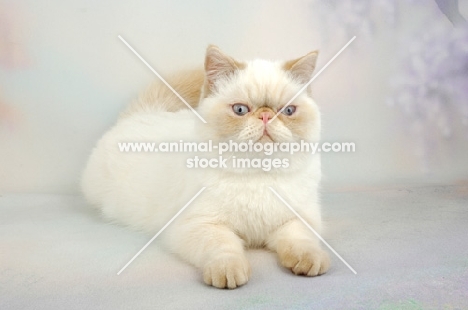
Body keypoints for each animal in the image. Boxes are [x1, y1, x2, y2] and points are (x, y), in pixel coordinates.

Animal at [81, 44, 330, 290]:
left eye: (288, 111)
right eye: (240, 110)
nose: (266, 116)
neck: (257, 172)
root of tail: (148, 111)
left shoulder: (299, 220)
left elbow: (301, 242)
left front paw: (310, 260)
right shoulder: (199, 225)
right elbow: (223, 247)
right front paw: (228, 271)